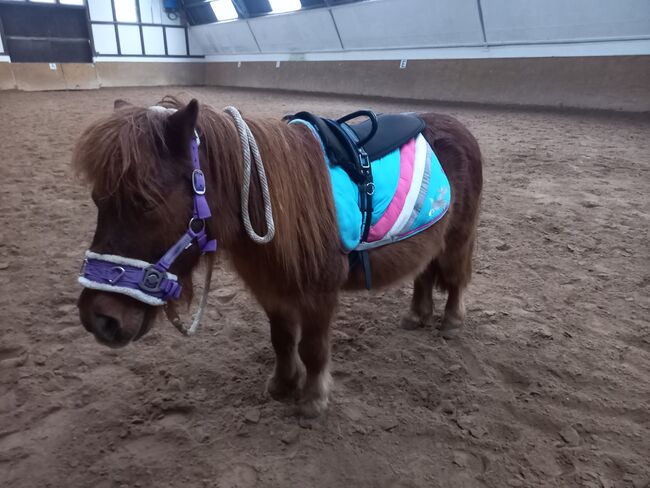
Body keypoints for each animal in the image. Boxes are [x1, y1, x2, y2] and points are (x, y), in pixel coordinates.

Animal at [76, 97, 480, 418]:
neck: (268, 202)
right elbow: (282, 339)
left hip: (457, 238)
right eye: (97, 201)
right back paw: (417, 315)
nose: (99, 319)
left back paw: (450, 321)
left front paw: (313, 401)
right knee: (425, 273)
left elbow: (313, 348)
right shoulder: (272, 289)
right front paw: (284, 385)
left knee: (455, 277)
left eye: (145, 202)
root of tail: (456, 126)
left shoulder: (319, 295)